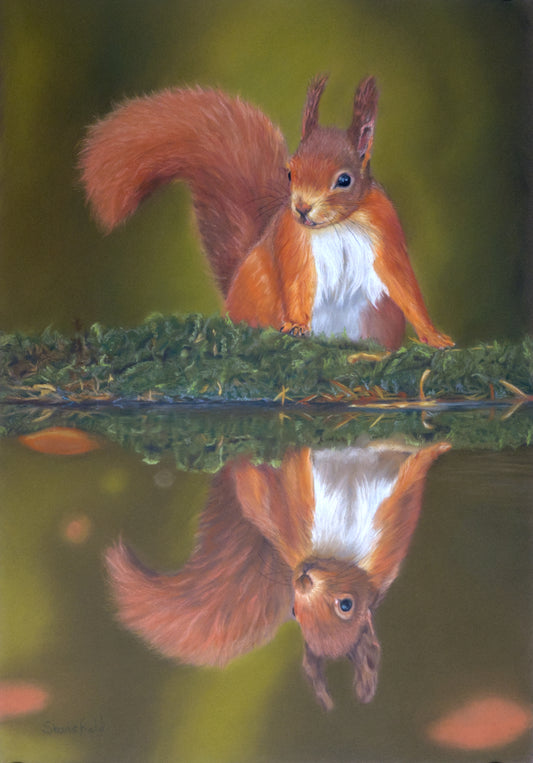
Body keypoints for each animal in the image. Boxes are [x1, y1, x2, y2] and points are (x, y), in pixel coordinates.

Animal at [81, 75, 453, 350]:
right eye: (290, 172)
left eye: (344, 180)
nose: (301, 208)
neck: (337, 224)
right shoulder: (292, 240)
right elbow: (297, 280)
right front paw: (297, 325)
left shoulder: (384, 230)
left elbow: (403, 283)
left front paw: (434, 336)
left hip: (377, 314)